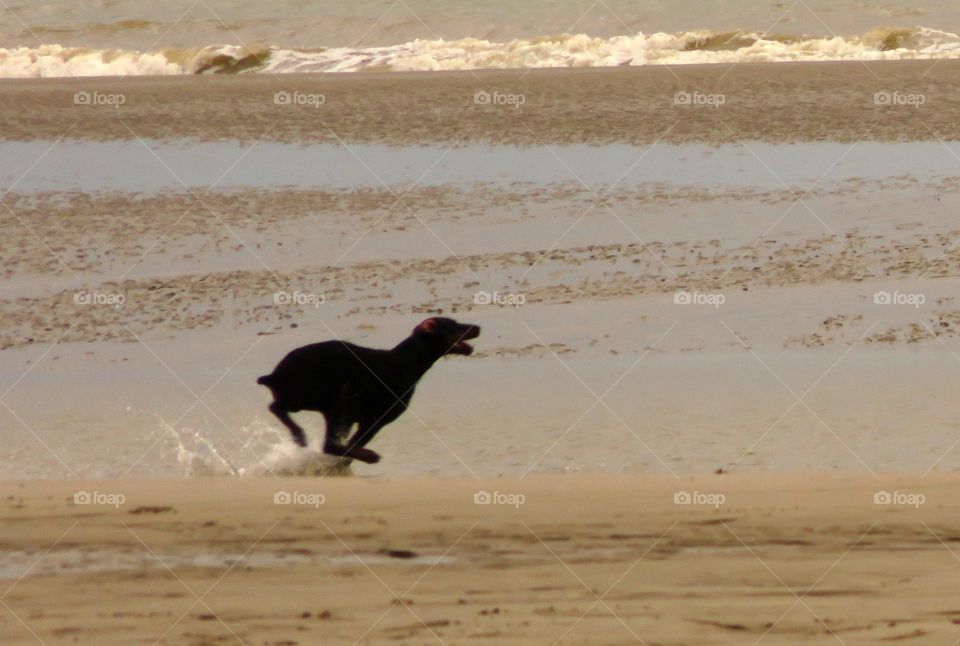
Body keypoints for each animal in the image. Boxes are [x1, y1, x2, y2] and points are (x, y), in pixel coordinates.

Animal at [258, 318, 480, 466]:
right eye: (453, 325)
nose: (478, 327)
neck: (408, 359)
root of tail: (274, 375)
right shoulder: (376, 420)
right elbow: (352, 444)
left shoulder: (367, 420)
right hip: (334, 403)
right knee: (327, 443)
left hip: (305, 401)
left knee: (276, 408)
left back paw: (299, 435)